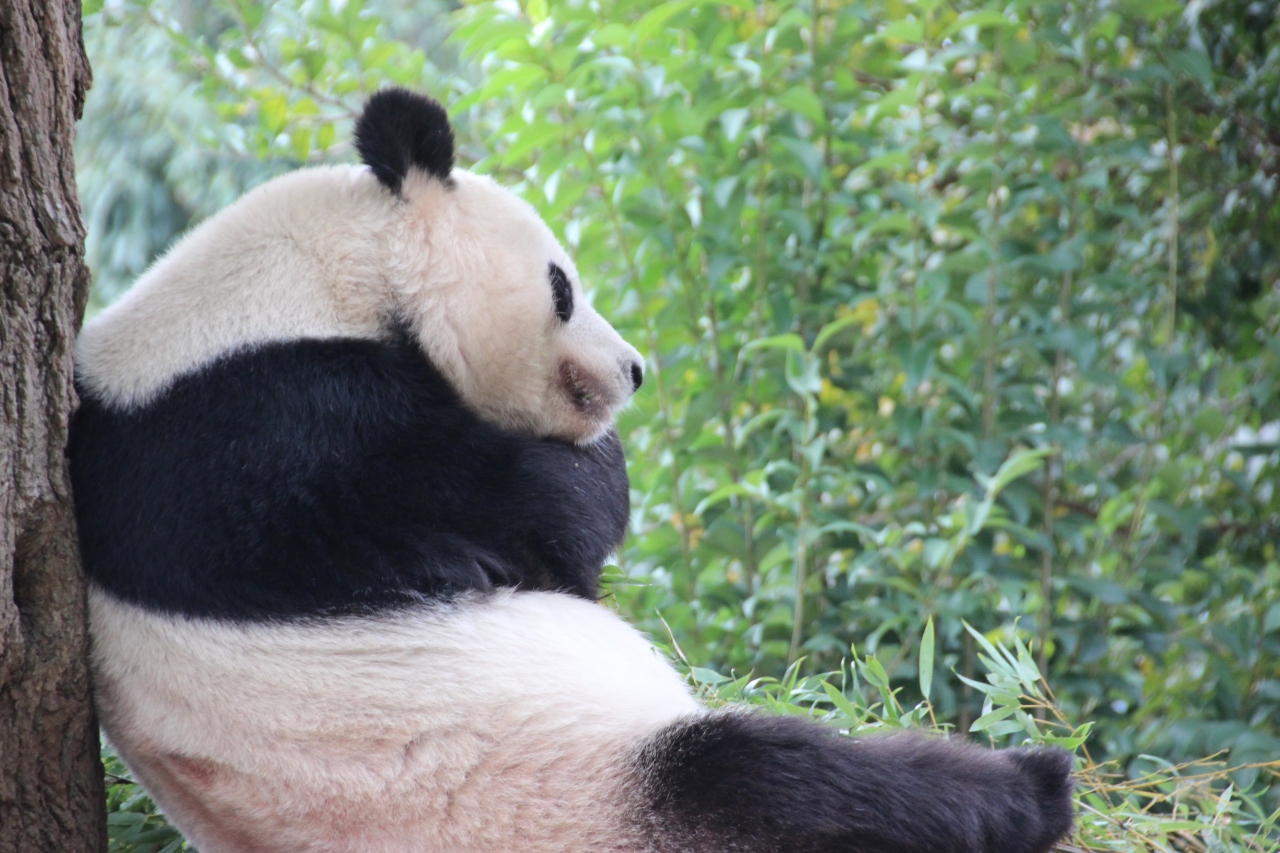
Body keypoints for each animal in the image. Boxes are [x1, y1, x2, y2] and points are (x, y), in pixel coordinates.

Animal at [67, 87, 1070, 850]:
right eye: (563, 285)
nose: (634, 369)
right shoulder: (267, 426)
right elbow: (541, 518)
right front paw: (573, 489)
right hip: (590, 784)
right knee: (787, 781)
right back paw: (1036, 781)